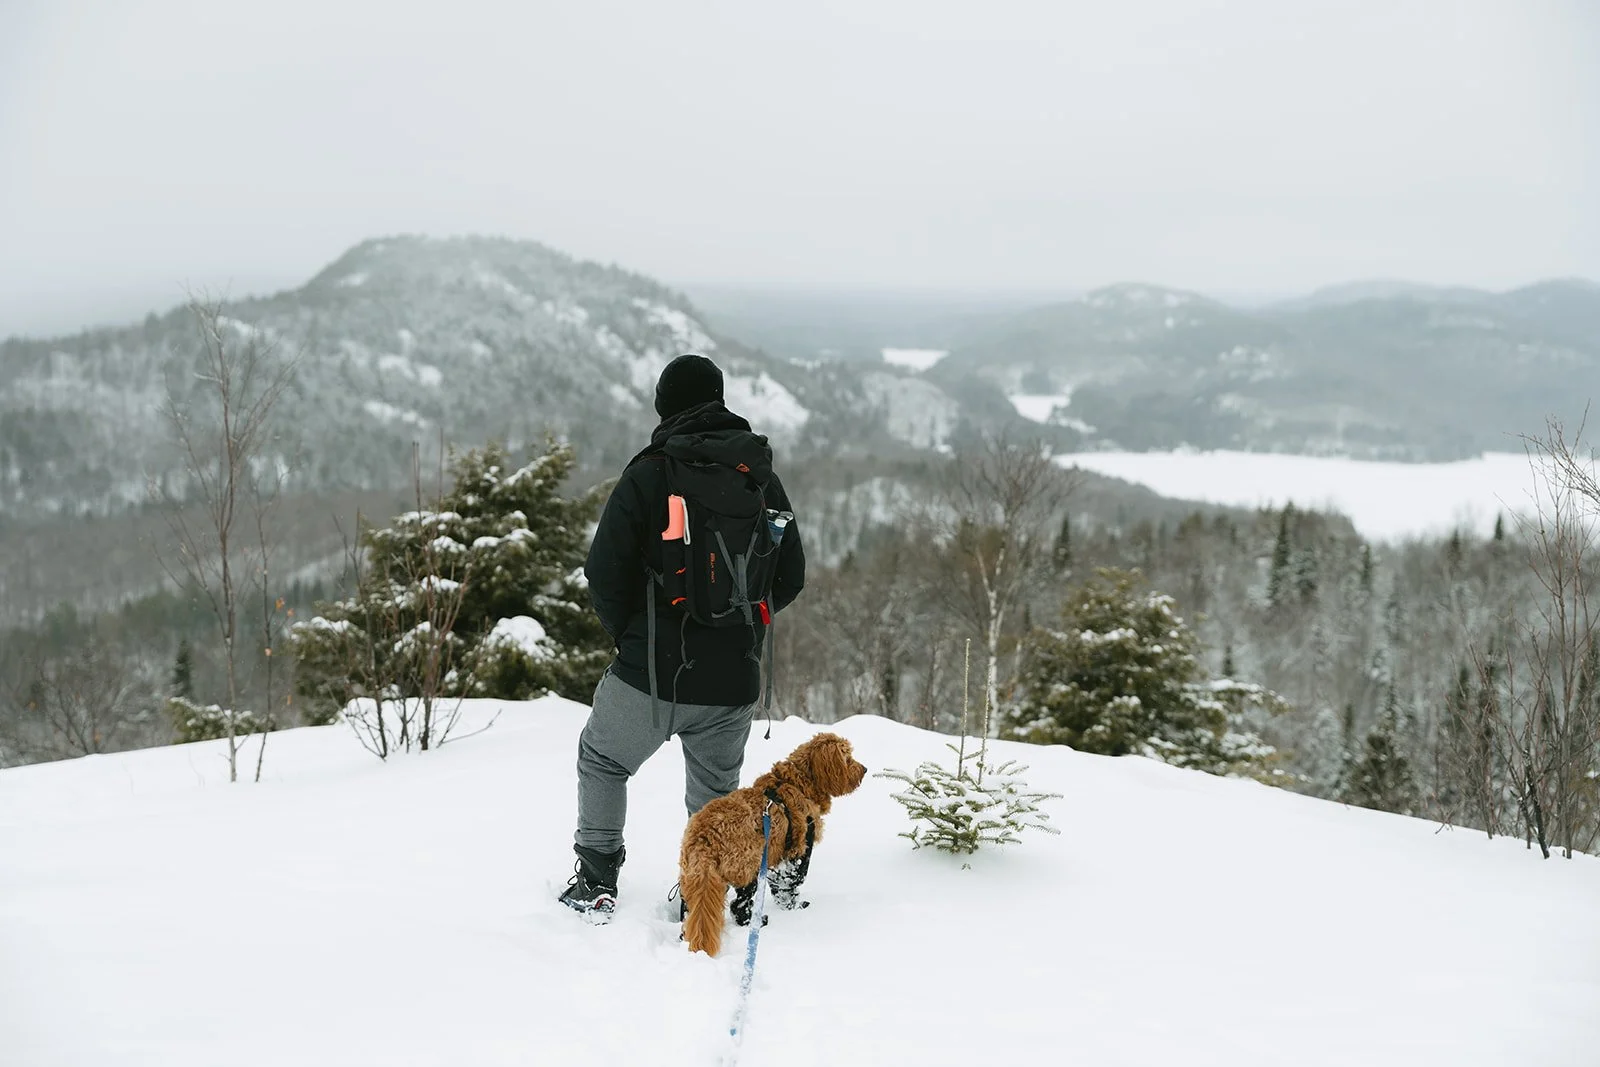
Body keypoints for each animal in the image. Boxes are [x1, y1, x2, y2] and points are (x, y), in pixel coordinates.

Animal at [679, 732, 867, 955]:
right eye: (847, 757)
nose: (865, 769)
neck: (798, 782)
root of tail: (704, 837)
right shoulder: (798, 852)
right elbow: (791, 884)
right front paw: (793, 908)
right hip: (748, 867)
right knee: (738, 905)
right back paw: (757, 921)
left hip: (696, 876)